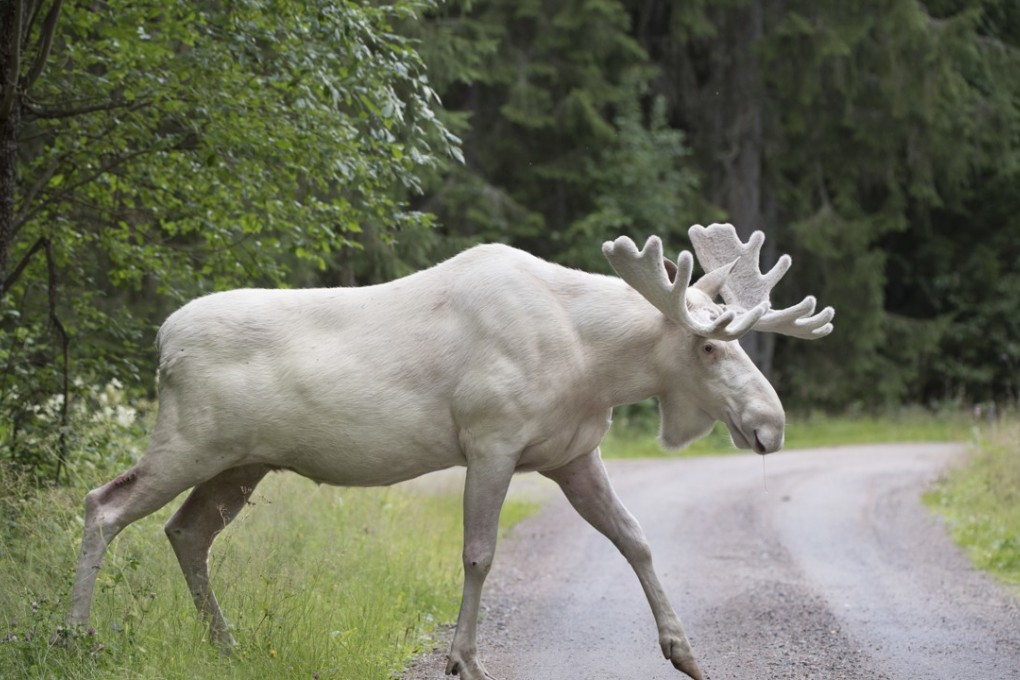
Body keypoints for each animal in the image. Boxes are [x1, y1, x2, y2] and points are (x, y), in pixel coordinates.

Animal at [67, 223, 833, 680]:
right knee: (103, 504)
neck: (593, 364)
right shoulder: (490, 438)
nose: (770, 424)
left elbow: (636, 539)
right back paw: (76, 637)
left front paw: (685, 652)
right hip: (191, 441)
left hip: (240, 463)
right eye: (708, 347)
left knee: (186, 531)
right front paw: (465, 661)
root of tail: (162, 341)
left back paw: (224, 644)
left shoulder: (573, 455)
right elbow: (479, 554)